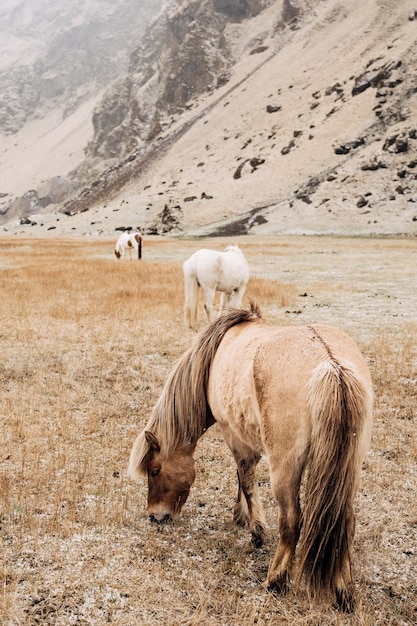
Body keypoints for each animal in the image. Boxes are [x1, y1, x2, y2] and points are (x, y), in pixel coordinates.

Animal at [128, 302, 372, 608]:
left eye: (155, 470)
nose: (154, 516)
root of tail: (331, 365)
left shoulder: (233, 433)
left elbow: (245, 479)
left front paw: (256, 532)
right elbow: (241, 478)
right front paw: (241, 516)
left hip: (285, 468)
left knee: (291, 519)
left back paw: (275, 580)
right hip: (348, 470)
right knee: (346, 521)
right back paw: (344, 593)